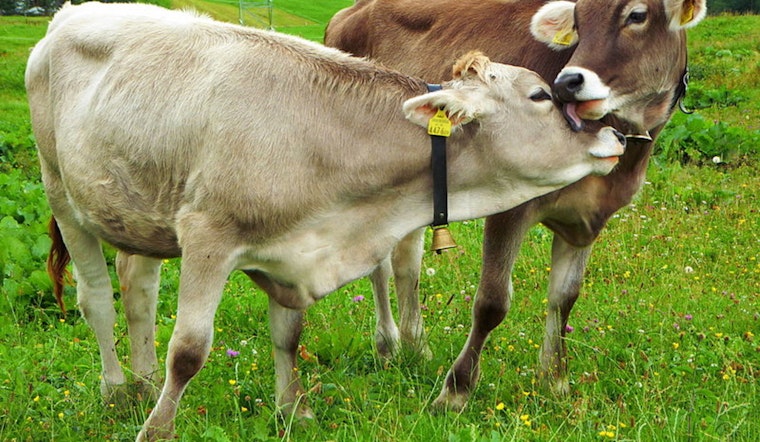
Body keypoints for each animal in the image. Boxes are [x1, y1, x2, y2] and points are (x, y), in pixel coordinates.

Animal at [25, 2, 626, 439]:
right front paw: (158, 431)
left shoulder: (292, 252)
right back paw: (116, 390)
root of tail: (72, 13)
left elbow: (288, 335)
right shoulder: (207, 236)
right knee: (96, 299)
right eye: (541, 94)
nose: (614, 136)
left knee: (138, 289)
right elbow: (191, 350)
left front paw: (293, 411)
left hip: (135, 207)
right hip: (61, 191)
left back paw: (145, 380)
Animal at [325, 0, 706, 410]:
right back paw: (388, 345)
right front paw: (456, 389)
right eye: (579, 20)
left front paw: (555, 378)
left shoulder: (588, 221)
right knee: (378, 264)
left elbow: (565, 298)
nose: (566, 83)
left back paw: (417, 347)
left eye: (637, 15)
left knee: (406, 263)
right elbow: (492, 302)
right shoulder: (510, 205)